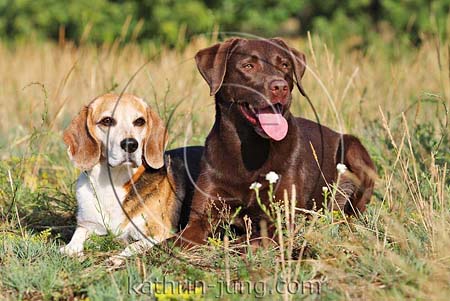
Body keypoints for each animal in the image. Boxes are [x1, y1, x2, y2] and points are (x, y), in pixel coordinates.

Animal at [59, 93, 183, 262]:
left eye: (139, 121)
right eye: (107, 121)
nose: (131, 144)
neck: (113, 181)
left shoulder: (159, 231)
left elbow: (133, 246)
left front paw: (116, 258)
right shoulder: (87, 224)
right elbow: (76, 237)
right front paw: (71, 249)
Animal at [167, 38, 374, 248]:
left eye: (285, 65)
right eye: (248, 66)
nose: (280, 87)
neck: (251, 149)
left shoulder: (281, 221)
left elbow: (242, 242)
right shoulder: (200, 216)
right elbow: (174, 241)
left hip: (353, 148)